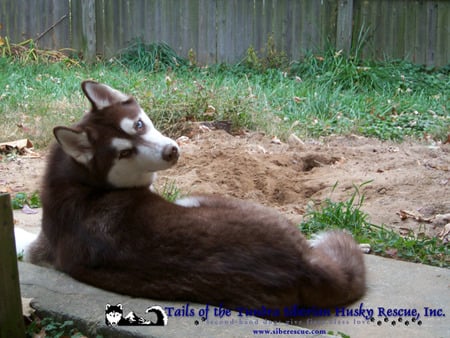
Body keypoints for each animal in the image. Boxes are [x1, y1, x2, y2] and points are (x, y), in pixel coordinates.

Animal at [17, 81, 366, 320]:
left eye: (139, 124)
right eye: (124, 153)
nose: (170, 151)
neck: (85, 183)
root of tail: (303, 263)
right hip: (195, 199)